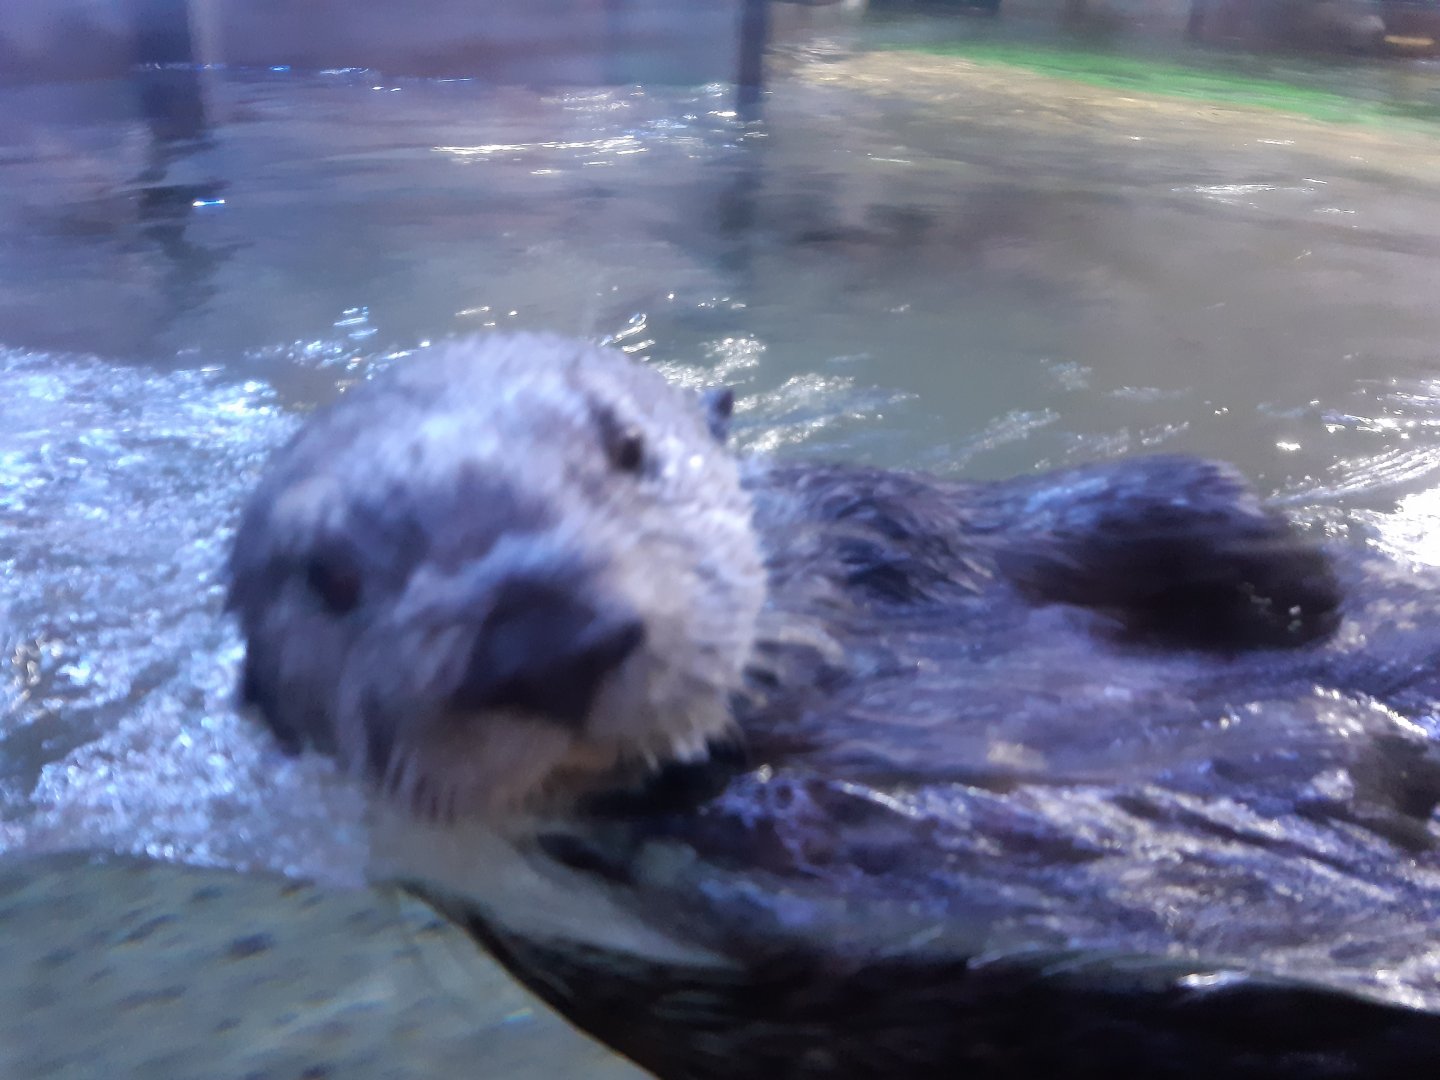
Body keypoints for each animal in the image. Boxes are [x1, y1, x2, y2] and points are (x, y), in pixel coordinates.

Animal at [229, 334, 1440, 1078]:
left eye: (627, 446)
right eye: (327, 577)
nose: (542, 637)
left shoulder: (894, 526)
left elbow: (1110, 510)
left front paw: (1286, 572)